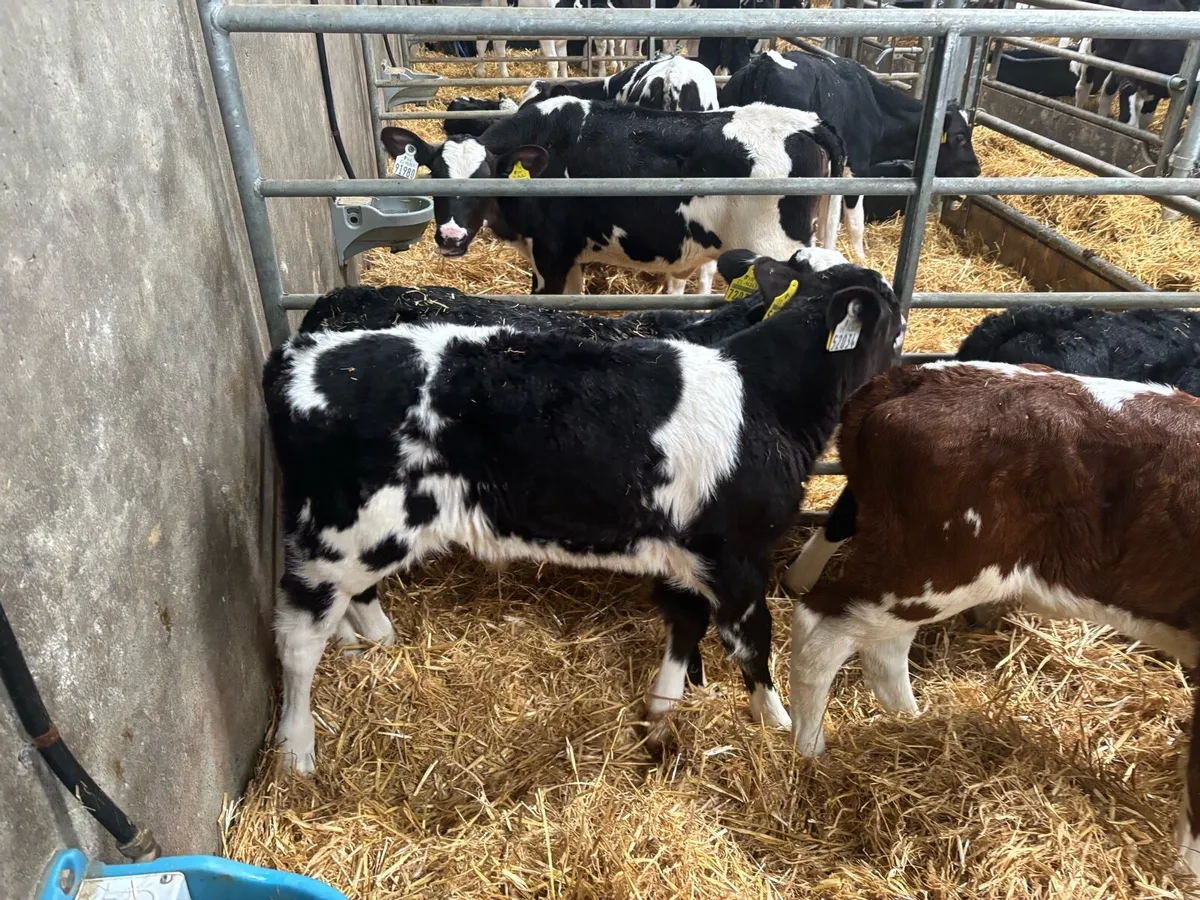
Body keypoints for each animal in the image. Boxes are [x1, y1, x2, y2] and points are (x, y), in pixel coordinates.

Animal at [264, 246, 905, 775]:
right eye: (894, 313)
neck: (765, 397)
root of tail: (298, 353)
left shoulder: (685, 551)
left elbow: (685, 626)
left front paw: (663, 709)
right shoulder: (738, 555)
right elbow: (750, 639)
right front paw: (777, 721)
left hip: (363, 534)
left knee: (352, 601)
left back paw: (379, 643)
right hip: (344, 533)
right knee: (297, 637)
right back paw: (296, 750)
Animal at [379, 97, 846, 297]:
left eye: (487, 179)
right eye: (435, 176)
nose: (451, 238)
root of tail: (806, 122)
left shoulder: (550, 254)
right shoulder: (568, 257)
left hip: (774, 246)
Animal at [721, 49, 981, 258]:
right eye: (960, 137)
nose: (976, 169)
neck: (877, 109)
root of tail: (765, 63)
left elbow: (826, 214)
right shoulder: (857, 168)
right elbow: (854, 221)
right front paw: (859, 257)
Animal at [781, 360, 1200, 880]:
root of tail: (909, 378)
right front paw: (1184, 874)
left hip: (921, 571)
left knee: (884, 647)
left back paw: (910, 723)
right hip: (940, 565)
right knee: (821, 627)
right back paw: (809, 751)